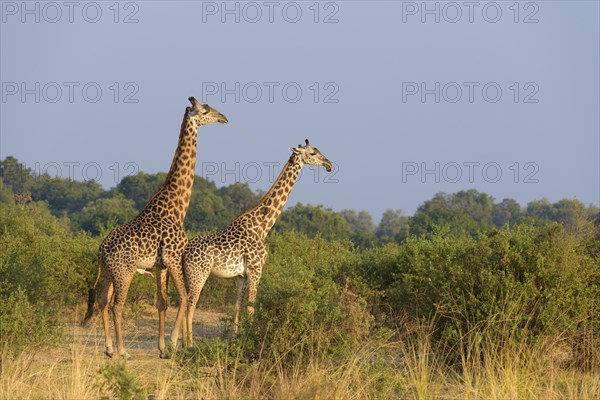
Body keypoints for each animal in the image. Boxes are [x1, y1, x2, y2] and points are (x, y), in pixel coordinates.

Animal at [85, 96, 231, 360]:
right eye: (205, 110)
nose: (224, 117)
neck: (177, 205)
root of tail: (101, 250)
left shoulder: (160, 265)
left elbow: (163, 302)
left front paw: (162, 348)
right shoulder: (174, 257)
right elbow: (183, 297)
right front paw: (175, 344)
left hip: (109, 272)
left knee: (102, 300)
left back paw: (109, 348)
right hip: (124, 271)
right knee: (116, 305)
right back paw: (123, 351)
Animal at [172, 139, 332, 346]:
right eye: (313, 153)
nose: (329, 164)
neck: (262, 227)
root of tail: (184, 251)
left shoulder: (241, 276)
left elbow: (237, 308)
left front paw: (234, 341)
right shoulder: (257, 270)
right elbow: (251, 307)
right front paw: (251, 339)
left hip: (187, 274)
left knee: (184, 302)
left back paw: (184, 343)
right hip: (199, 274)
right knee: (191, 305)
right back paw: (189, 345)